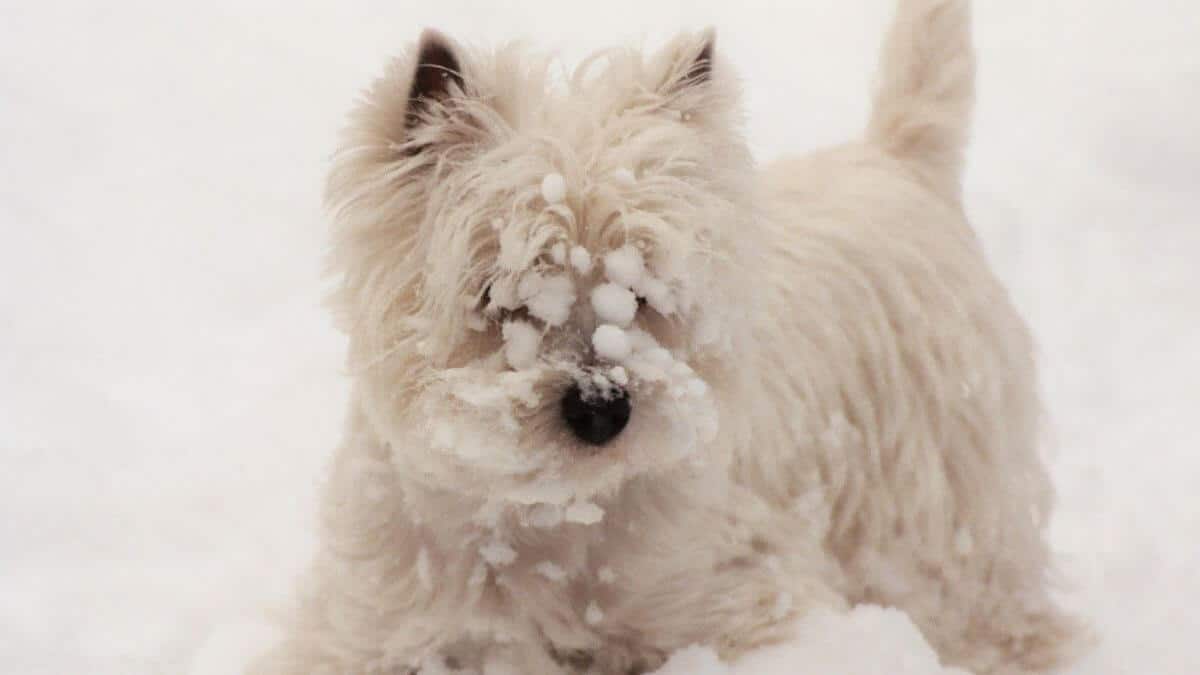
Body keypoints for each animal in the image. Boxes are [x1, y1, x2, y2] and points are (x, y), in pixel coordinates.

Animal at [253, 2, 1089, 667]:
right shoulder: (381, 624)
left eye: (642, 289)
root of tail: (896, 158)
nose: (602, 408)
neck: (549, 518)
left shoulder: (735, 595)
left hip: (940, 501)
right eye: (501, 292)